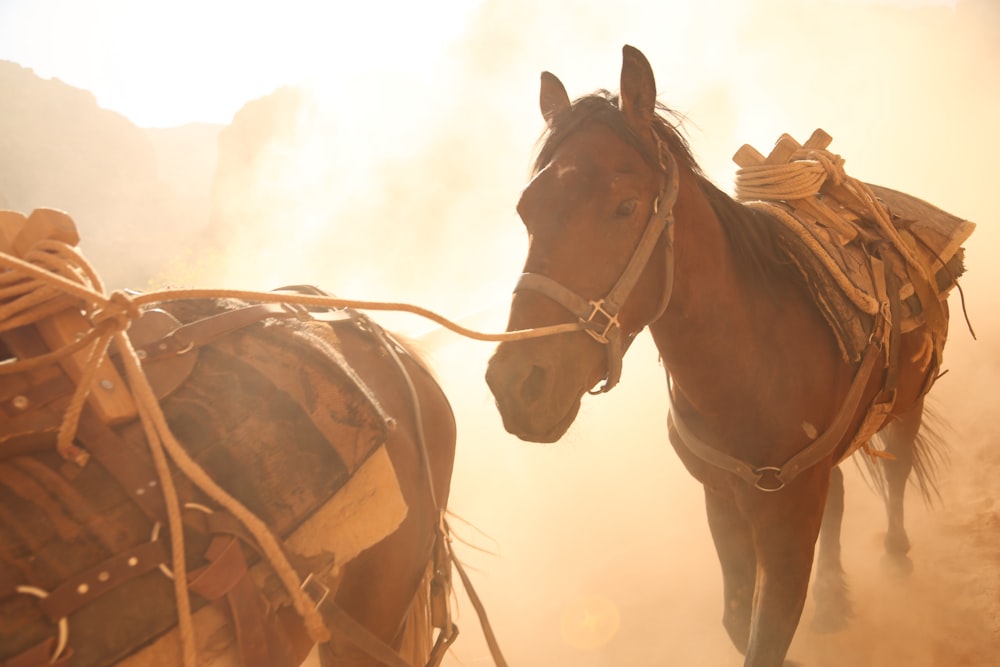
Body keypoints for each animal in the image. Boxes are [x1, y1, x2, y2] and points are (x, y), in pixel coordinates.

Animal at [484, 47, 968, 667]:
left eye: (626, 206)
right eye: (527, 210)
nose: (517, 385)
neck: (750, 364)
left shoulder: (785, 518)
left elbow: (766, 633)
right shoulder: (724, 500)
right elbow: (739, 620)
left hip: (908, 402)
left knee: (898, 469)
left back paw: (896, 555)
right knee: (839, 497)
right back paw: (833, 599)